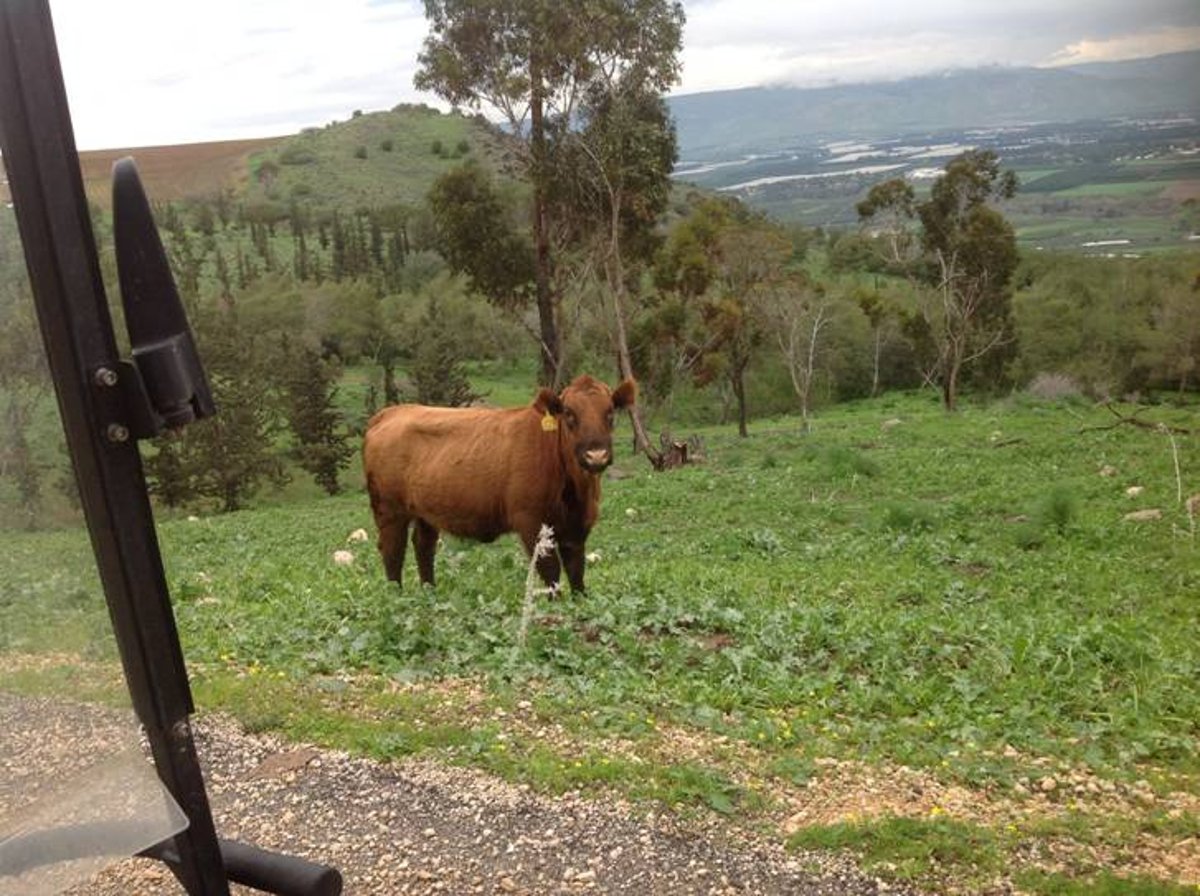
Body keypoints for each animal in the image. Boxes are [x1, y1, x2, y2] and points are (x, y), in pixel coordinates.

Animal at [360, 374, 638, 592]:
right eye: (569, 413)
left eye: (610, 412)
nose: (596, 455)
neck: (574, 491)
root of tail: (390, 413)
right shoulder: (531, 522)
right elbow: (551, 572)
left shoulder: (577, 527)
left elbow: (576, 573)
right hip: (389, 509)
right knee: (393, 551)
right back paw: (398, 598)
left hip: (425, 512)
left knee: (423, 547)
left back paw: (430, 593)